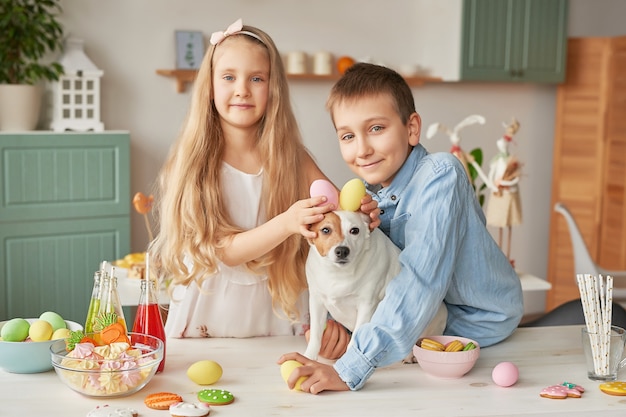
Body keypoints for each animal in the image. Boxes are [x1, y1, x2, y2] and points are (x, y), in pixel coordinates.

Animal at [302, 210, 444, 360]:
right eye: (325, 230)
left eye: (355, 230)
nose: (342, 250)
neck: (338, 273)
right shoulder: (316, 301)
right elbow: (316, 335)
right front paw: (309, 357)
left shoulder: (366, 305)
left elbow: (355, 340)